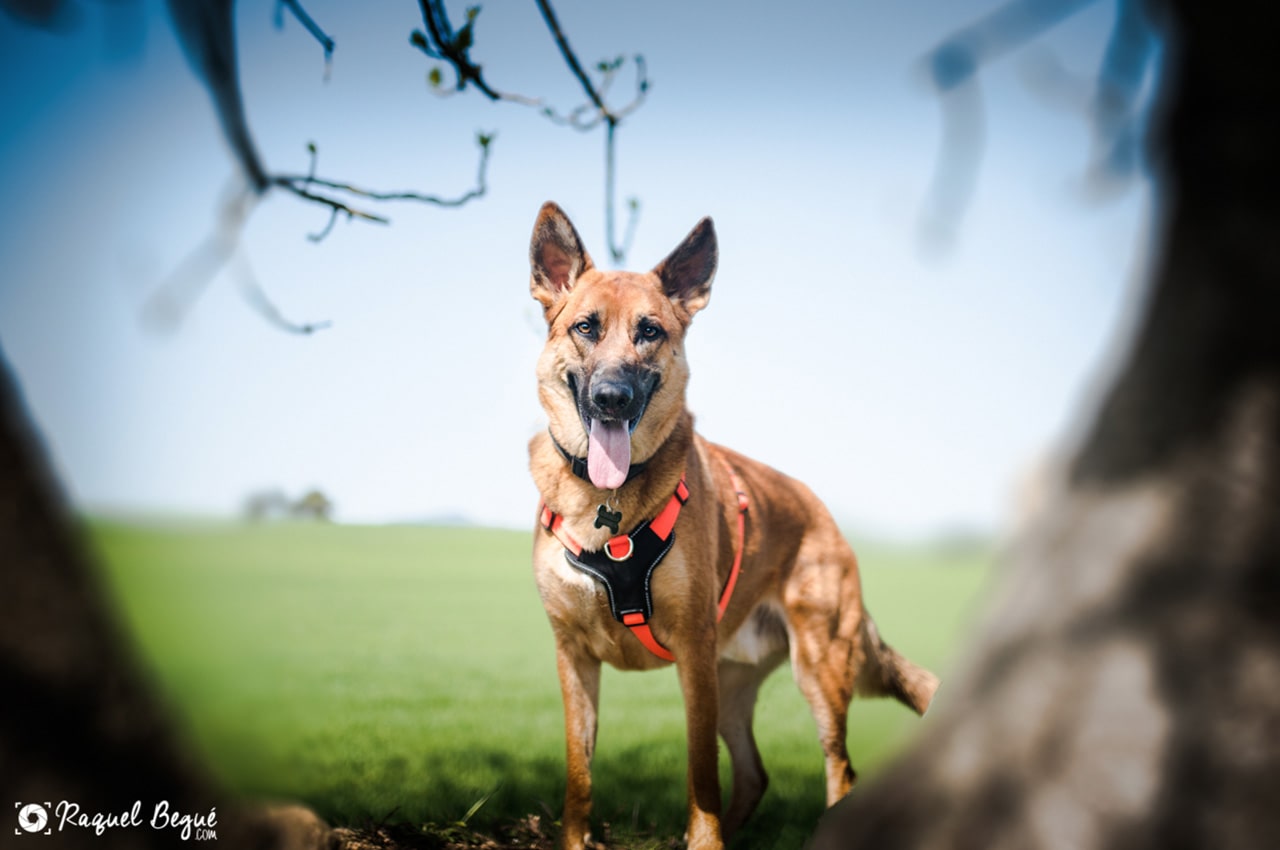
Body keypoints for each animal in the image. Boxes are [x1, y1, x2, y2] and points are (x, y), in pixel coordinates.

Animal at [524, 204, 936, 850]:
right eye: (586, 328)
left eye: (650, 331)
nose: (613, 398)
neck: (606, 504)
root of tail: (822, 512)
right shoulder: (574, 657)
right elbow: (578, 775)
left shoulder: (693, 655)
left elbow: (700, 773)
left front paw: (704, 840)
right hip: (734, 683)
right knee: (755, 773)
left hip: (816, 671)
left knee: (840, 770)